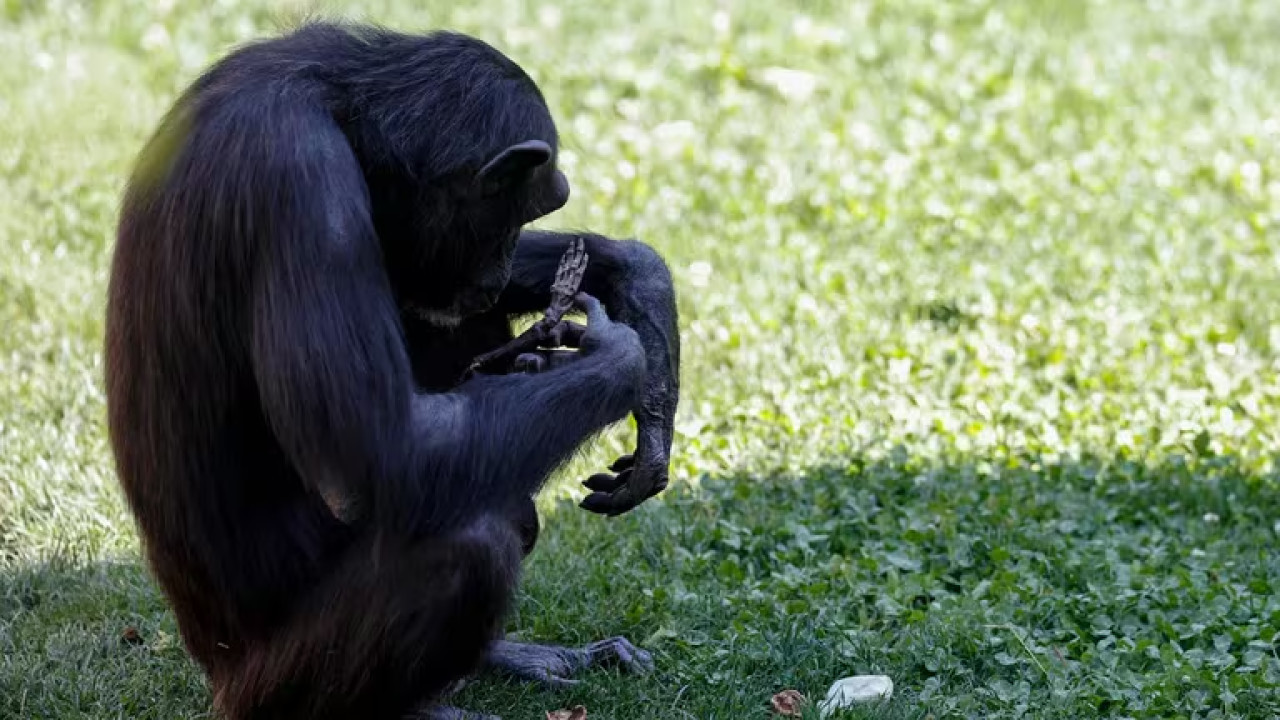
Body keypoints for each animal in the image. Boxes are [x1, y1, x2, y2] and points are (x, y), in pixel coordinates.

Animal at [107, 20, 680, 717]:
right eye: (515, 213)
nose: (496, 274)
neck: (338, 106)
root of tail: (213, 675)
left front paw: (642, 293)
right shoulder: (302, 185)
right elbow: (382, 451)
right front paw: (619, 355)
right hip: (271, 684)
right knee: (472, 541)